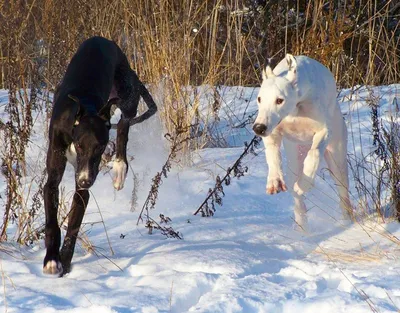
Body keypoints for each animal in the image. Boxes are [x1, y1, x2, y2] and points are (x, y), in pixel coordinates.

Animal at [43, 36, 156, 274]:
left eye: (101, 147)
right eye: (79, 145)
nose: (86, 180)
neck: (84, 109)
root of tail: (102, 39)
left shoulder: (82, 189)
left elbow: (74, 225)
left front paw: (65, 262)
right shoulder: (53, 177)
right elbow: (52, 221)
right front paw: (52, 259)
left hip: (126, 95)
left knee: (123, 126)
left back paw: (120, 168)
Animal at [253, 54, 350, 229]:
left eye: (279, 100)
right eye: (259, 99)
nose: (258, 128)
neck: (296, 108)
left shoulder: (324, 131)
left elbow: (314, 153)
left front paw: (305, 183)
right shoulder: (272, 132)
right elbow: (273, 155)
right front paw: (274, 180)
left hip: (337, 160)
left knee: (343, 192)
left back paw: (346, 220)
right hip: (294, 161)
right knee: (296, 193)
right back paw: (302, 225)